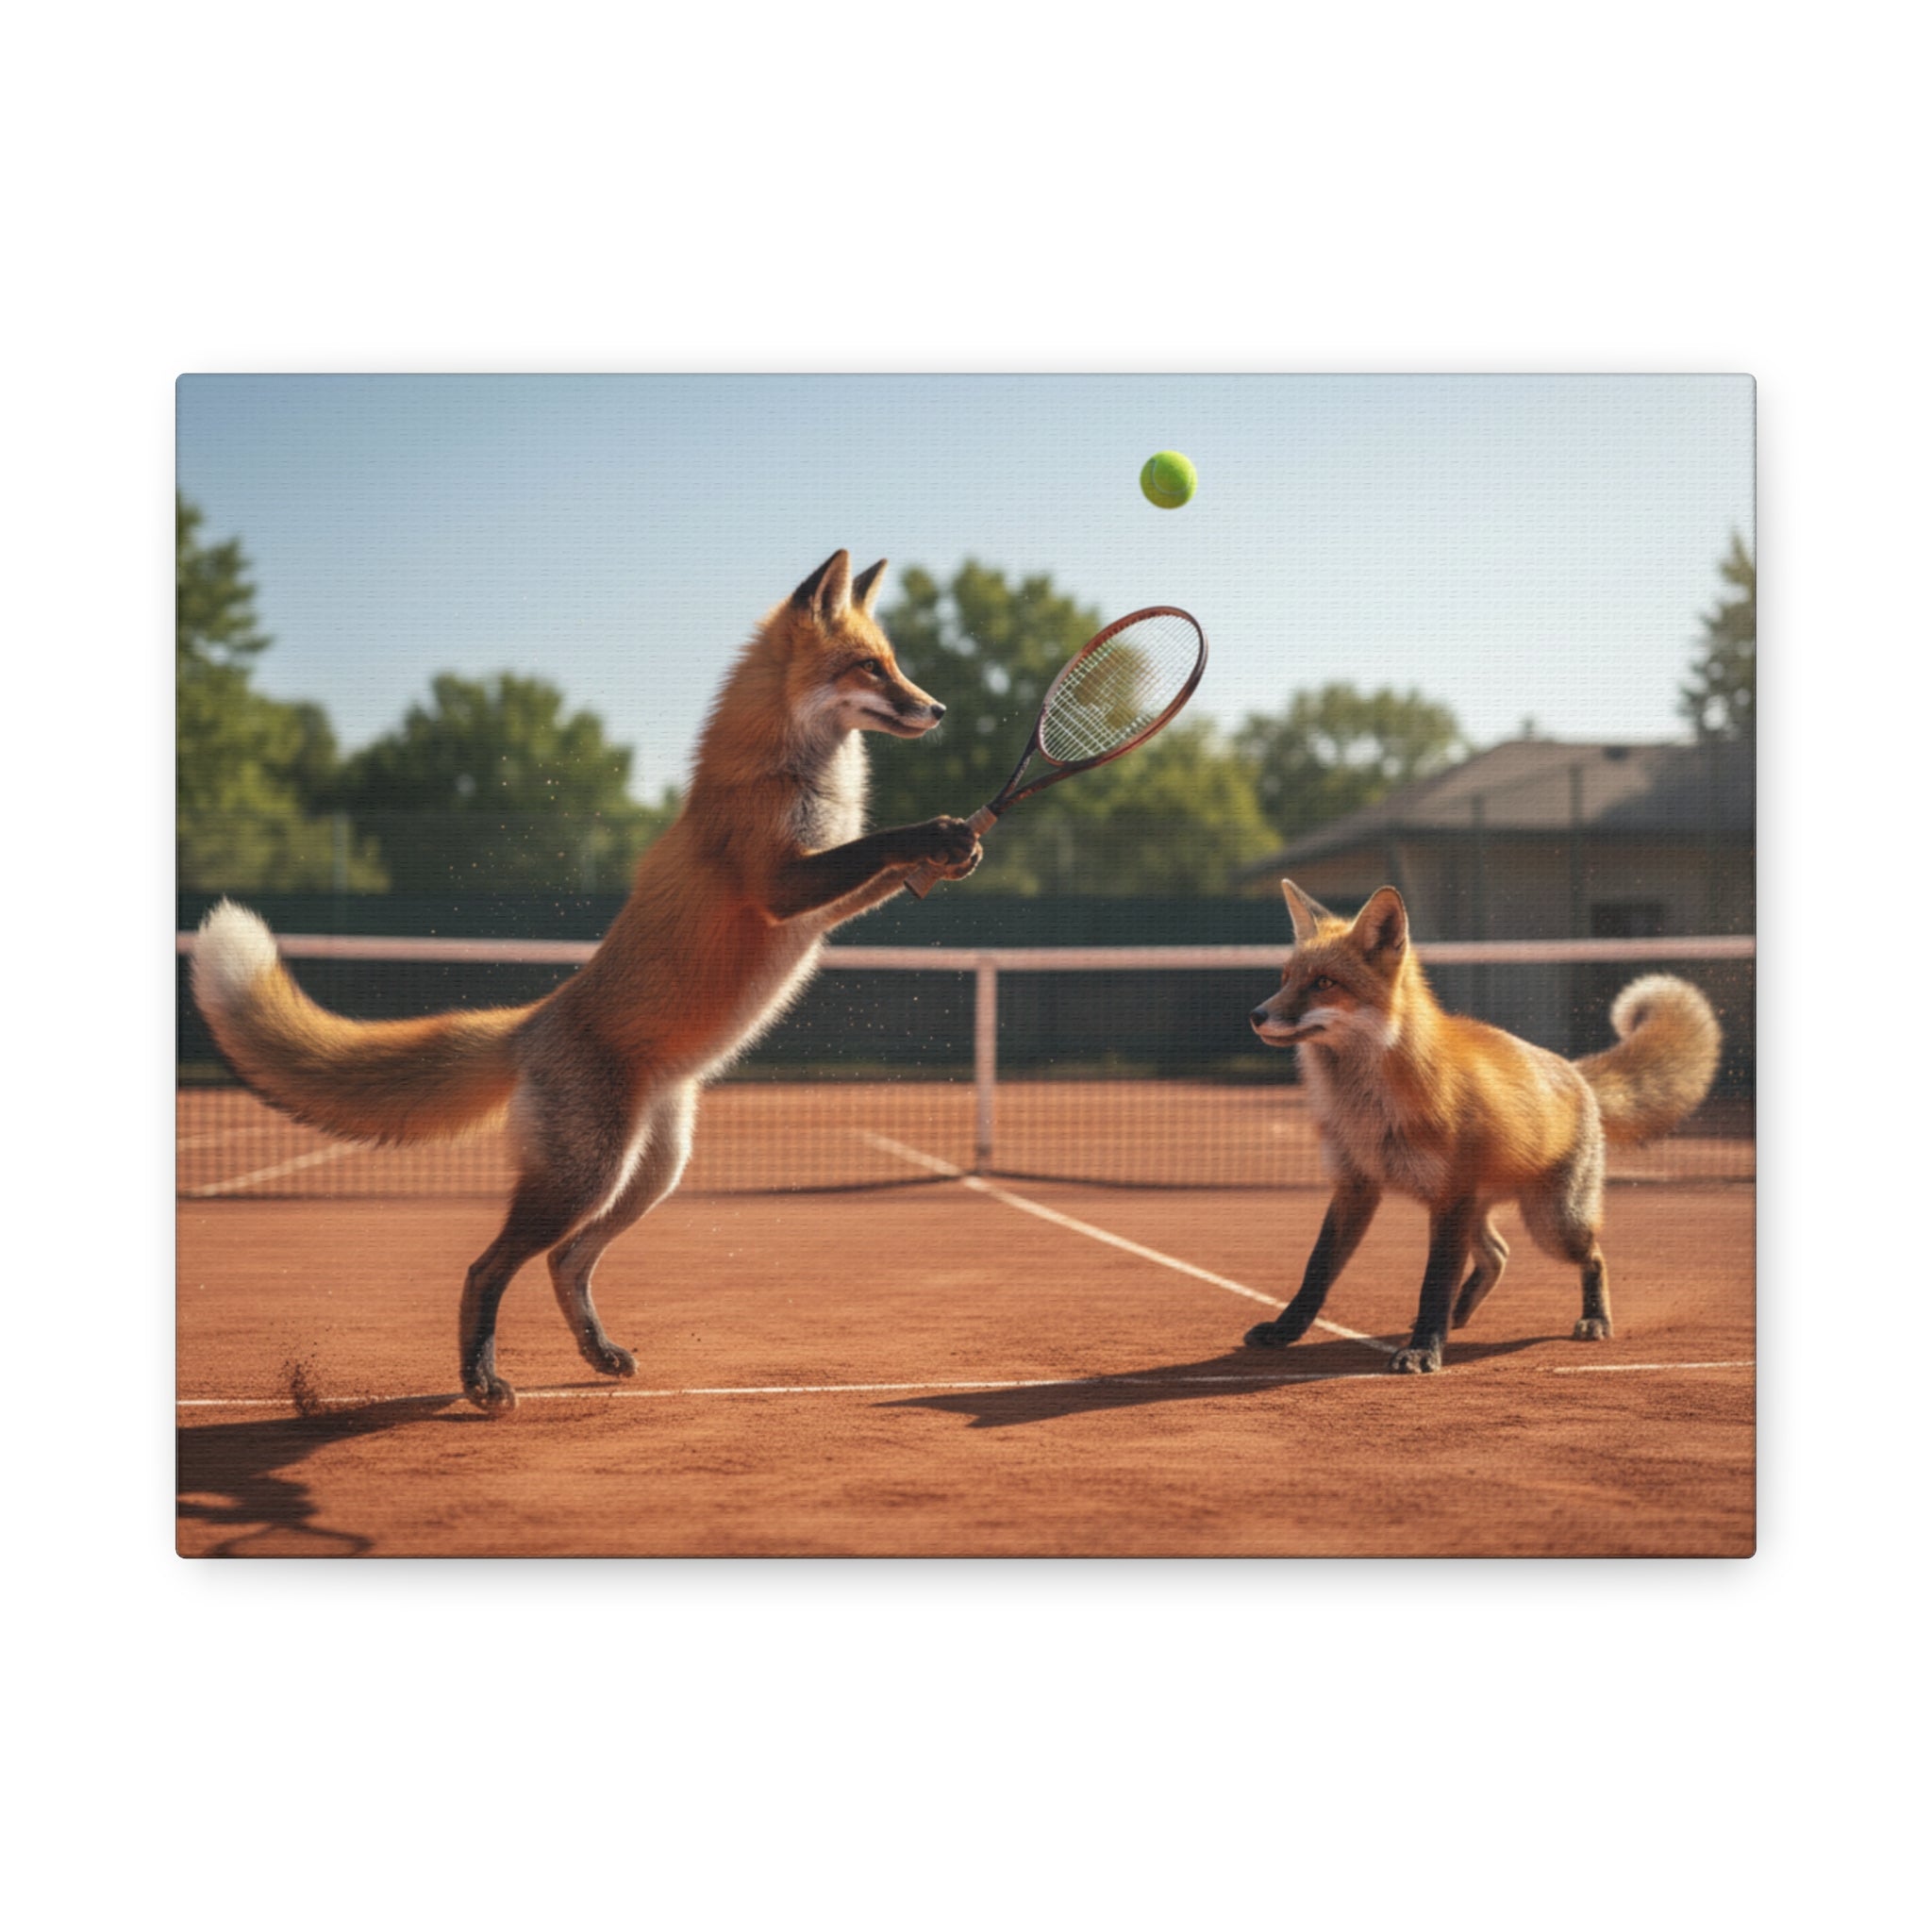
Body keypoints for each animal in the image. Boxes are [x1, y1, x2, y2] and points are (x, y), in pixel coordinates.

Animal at [192, 549, 983, 1414]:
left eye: (895, 664)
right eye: (872, 667)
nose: (938, 708)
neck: (792, 772)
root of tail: (533, 1022)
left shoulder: (821, 904)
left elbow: (884, 868)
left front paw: (959, 849)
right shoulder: (780, 885)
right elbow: (880, 843)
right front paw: (942, 829)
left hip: (651, 1172)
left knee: (564, 1261)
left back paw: (596, 1352)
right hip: (588, 1175)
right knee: (490, 1266)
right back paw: (480, 1381)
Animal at [1243, 878, 1721, 1374]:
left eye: (1324, 983)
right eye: (1285, 979)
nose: (1256, 1015)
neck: (1368, 1108)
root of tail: (1574, 1071)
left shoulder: (1449, 1197)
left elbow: (1434, 1284)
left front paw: (1423, 1349)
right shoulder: (1356, 1187)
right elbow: (1315, 1272)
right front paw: (1285, 1331)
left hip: (1552, 1223)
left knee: (1593, 1257)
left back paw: (1594, 1319)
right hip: (1476, 1211)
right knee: (1497, 1255)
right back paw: (1459, 1315)